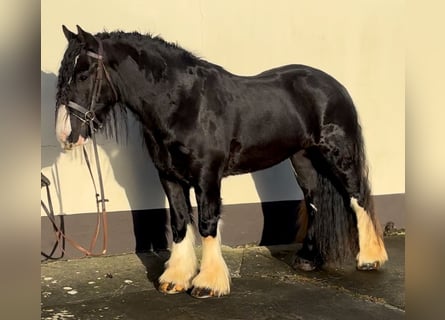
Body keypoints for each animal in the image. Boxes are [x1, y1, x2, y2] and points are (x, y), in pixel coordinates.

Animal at [55, 26, 386, 298]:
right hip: (303, 158)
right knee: (314, 200)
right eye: (63, 73)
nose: (64, 134)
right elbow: (179, 222)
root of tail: (333, 85)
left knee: (357, 196)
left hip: (337, 154)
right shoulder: (169, 176)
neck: (183, 103)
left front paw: (208, 283)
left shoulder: (207, 176)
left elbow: (207, 222)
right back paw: (308, 259)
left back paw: (370, 259)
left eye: (83, 74)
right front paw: (175, 279)